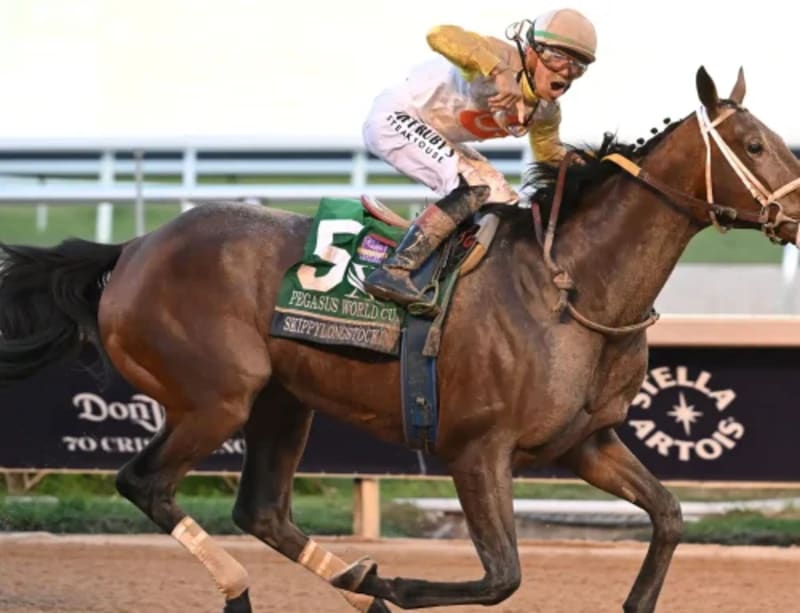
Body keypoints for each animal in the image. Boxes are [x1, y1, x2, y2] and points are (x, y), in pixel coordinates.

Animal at [2, 66, 799, 613]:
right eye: (754, 144)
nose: (798, 212)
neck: (572, 286)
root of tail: (133, 248)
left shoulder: (586, 443)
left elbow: (669, 515)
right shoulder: (475, 448)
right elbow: (502, 575)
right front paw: (401, 583)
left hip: (284, 401)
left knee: (260, 510)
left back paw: (355, 582)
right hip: (216, 399)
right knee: (145, 482)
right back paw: (260, 587)